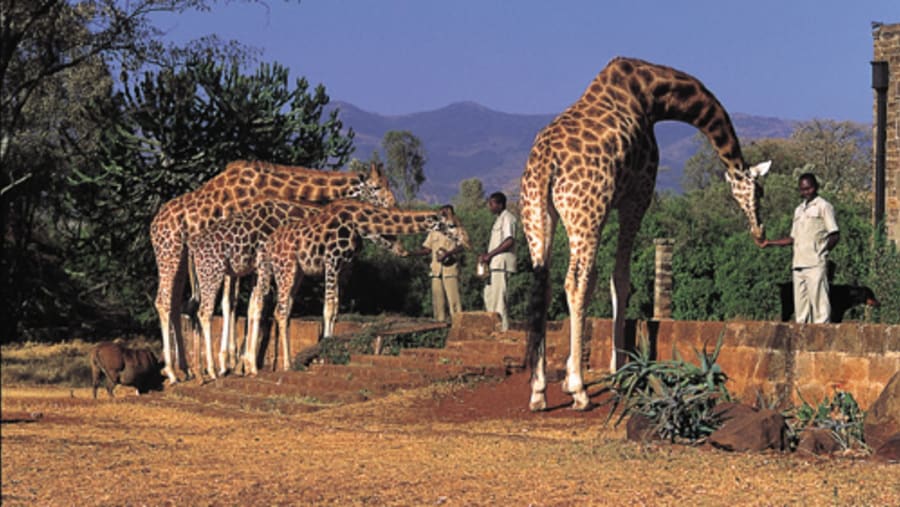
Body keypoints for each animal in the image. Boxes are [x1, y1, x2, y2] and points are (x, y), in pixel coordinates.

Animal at [151, 160, 397, 384]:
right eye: (377, 187)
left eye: (388, 183)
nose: (393, 206)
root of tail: (153, 226)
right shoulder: (245, 255)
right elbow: (238, 303)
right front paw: (233, 363)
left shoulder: (246, 259)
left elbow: (246, 304)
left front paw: (237, 363)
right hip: (169, 252)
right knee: (164, 302)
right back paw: (174, 372)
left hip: (182, 258)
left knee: (176, 304)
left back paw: (186, 369)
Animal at [243, 201, 471, 374]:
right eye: (451, 225)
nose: (467, 241)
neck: (357, 221)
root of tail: (267, 245)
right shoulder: (332, 261)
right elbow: (328, 308)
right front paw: (324, 357)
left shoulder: (345, 268)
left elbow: (335, 311)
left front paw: (326, 354)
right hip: (286, 268)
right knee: (279, 311)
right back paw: (286, 365)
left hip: (284, 271)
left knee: (265, 303)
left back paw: (251, 365)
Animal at [520, 57, 770, 411]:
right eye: (759, 191)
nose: (760, 232)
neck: (654, 96)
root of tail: (546, 164)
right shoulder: (637, 195)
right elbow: (619, 279)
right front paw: (617, 371)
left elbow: (604, 281)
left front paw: (575, 373)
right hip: (586, 214)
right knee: (575, 282)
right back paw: (581, 391)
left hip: (537, 215)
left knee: (544, 282)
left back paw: (539, 391)